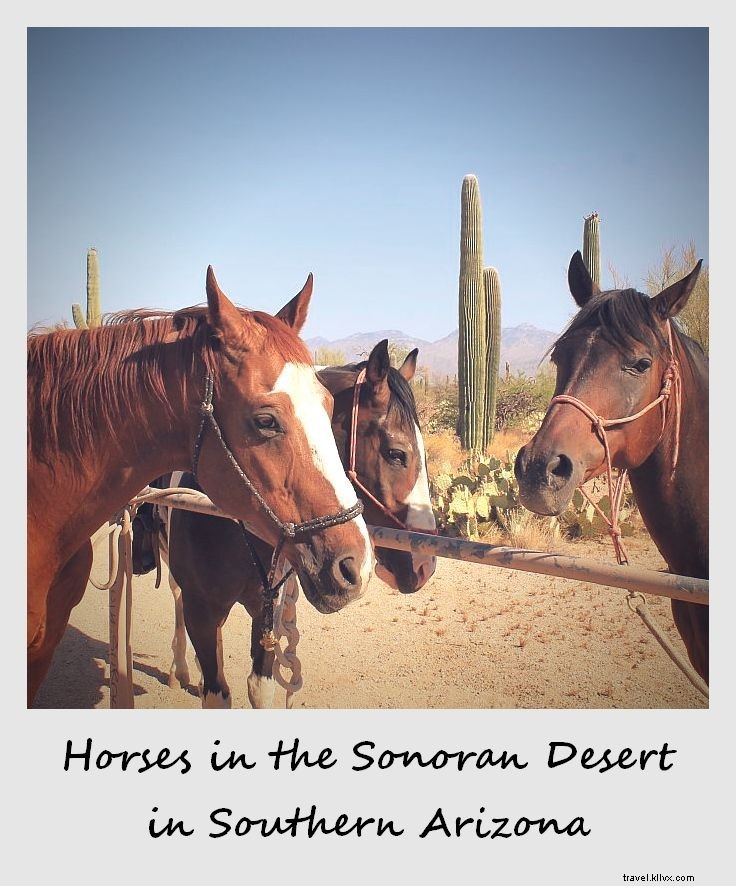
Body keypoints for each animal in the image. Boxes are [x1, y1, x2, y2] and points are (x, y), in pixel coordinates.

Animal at [137, 339, 437, 708]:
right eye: (396, 453)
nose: (424, 567)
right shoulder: (201, 611)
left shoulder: (268, 610)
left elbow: (259, 687)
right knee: (176, 597)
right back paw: (178, 667)